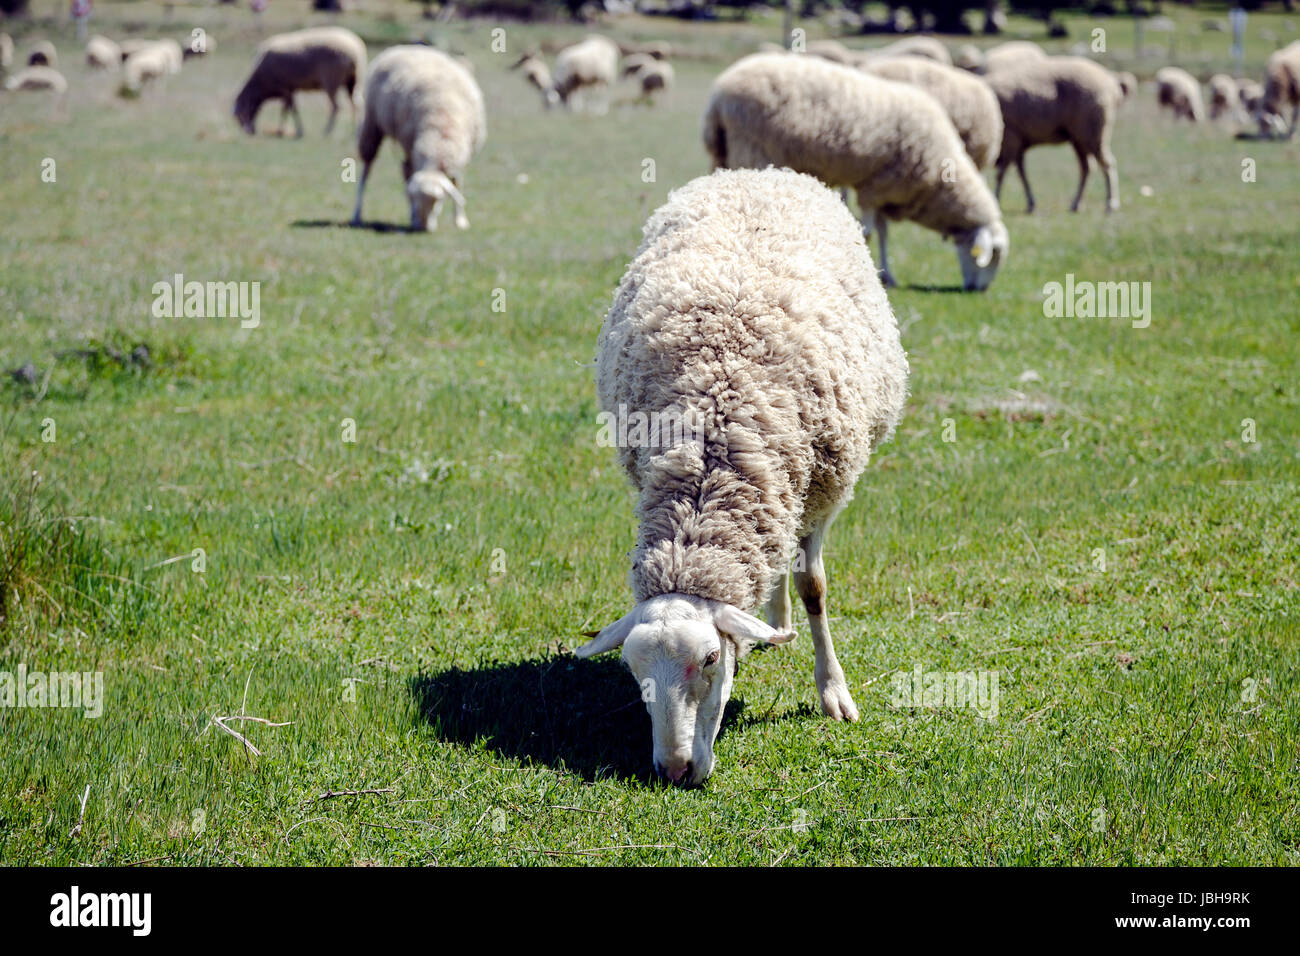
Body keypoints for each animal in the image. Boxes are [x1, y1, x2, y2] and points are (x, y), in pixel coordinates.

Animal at [233, 26, 366, 137]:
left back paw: (327, 131)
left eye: (240, 115)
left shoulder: (284, 88)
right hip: (353, 81)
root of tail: (353, 52)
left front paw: (292, 131)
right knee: (357, 103)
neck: (260, 83)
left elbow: (290, 110)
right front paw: (285, 130)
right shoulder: (289, 90)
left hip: (331, 81)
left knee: (336, 107)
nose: (249, 132)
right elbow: (288, 109)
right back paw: (355, 130)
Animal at [350, 45, 486, 233]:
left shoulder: (460, 156)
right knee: (367, 170)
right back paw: (357, 214)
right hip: (372, 123)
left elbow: (457, 183)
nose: (423, 228)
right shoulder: (411, 147)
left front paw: (460, 220)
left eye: (439, 201)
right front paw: (413, 216)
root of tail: (406, 47)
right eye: (416, 199)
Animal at [578, 166, 908, 786]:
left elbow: (814, 587)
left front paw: (833, 692)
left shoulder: (820, 490)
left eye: (710, 659)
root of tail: (760, 172)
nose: (675, 769)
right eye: (633, 671)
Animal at [985, 55, 1122, 214]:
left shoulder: (1010, 138)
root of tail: (1111, 83)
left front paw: (995, 199)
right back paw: (1076, 204)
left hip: (1093, 132)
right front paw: (1030, 203)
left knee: (1108, 164)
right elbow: (1021, 173)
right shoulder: (1019, 142)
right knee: (1086, 168)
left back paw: (1111, 203)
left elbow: (1001, 173)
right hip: (1079, 138)